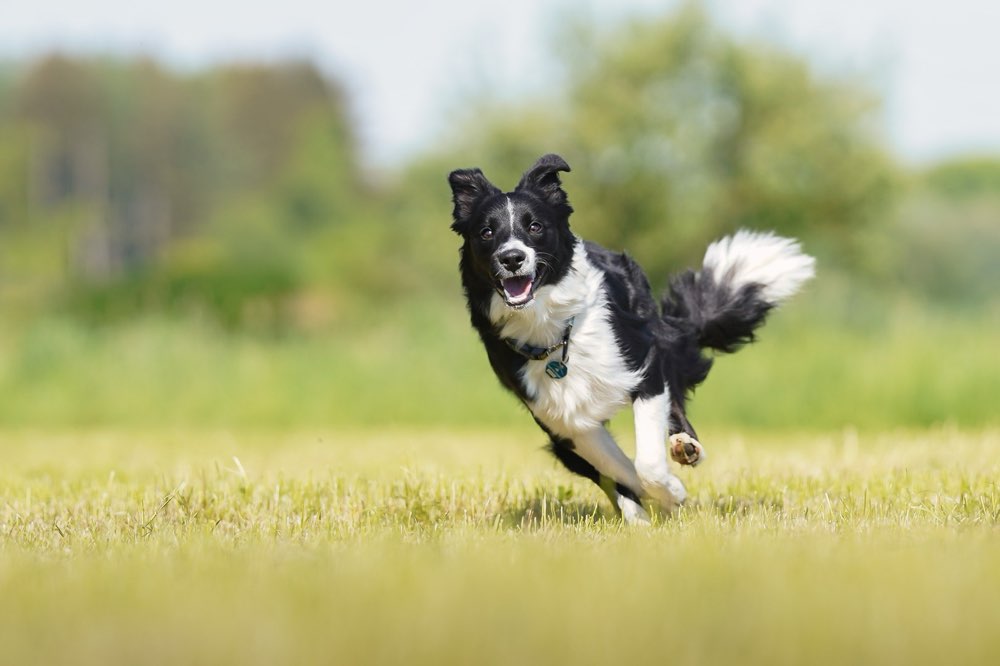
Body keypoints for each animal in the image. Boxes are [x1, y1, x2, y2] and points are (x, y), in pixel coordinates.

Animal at [446, 156, 812, 524]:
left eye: (535, 226)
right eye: (487, 232)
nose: (511, 258)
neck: (553, 331)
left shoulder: (642, 367)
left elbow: (647, 463)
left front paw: (672, 491)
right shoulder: (563, 419)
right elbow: (619, 469)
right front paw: (661, 500)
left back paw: (684, 447)